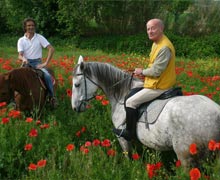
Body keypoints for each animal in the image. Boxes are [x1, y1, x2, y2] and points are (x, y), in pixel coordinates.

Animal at [72, 55, 220, 169]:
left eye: (77, 84)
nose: (74, 108)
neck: (122, 94)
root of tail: (216, 111)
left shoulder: (122, 138)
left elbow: (128, 156)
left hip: (186, 156)